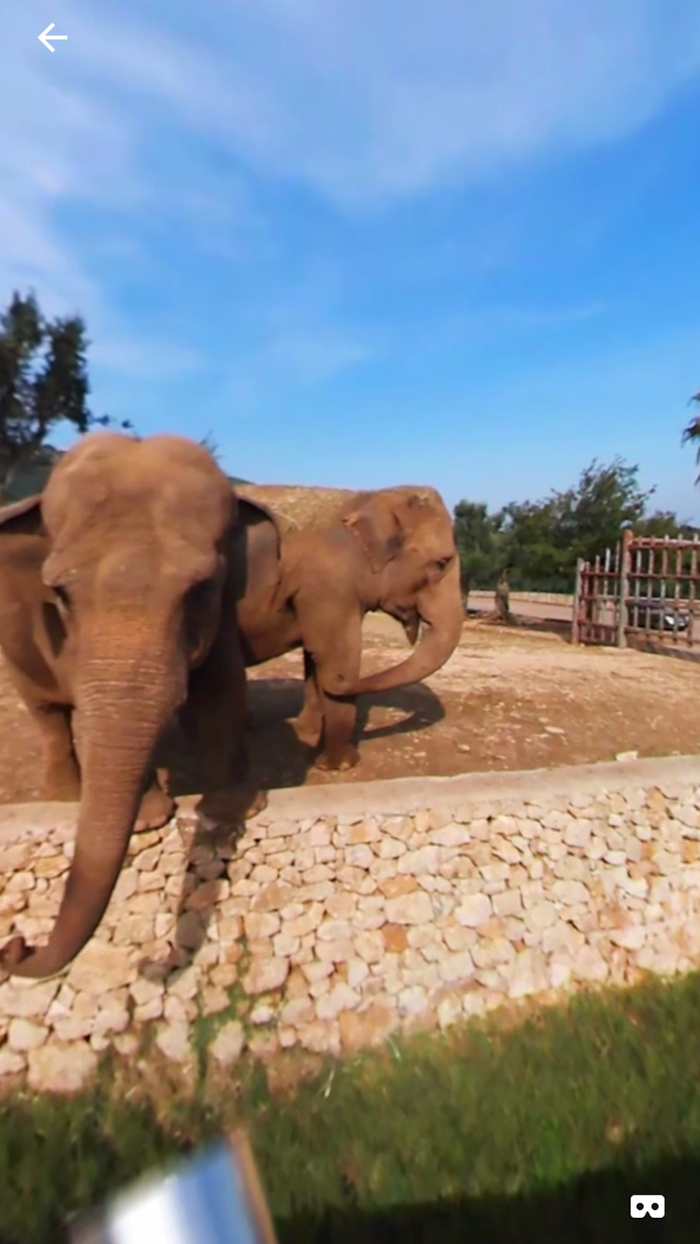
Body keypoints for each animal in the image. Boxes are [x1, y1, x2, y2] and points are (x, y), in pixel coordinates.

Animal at [0, 431, 280, 980]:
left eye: (202, 589)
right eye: (60, 594)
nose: (15, 947)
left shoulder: (223, 609)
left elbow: (222, 686)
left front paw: (231, 806)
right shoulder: (60, 637)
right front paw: (150, 819)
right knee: (47, 712)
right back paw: (65, 791)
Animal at [236, 483, 463, 770]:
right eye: (441, 564)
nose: (342, 682)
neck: (371, 495)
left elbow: (314, 656)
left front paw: (307, 732)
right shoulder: (330, 585)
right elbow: (335, 655)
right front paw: (339, 764)